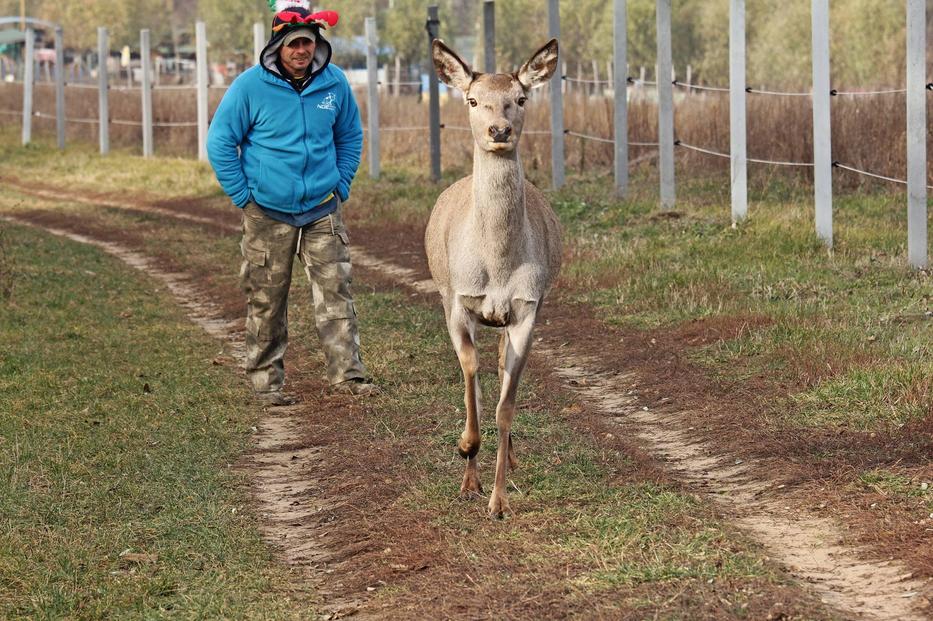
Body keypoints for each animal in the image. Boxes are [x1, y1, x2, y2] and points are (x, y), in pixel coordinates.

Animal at [422, 36, 560, 516]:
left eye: (520, 98)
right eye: (472, 99)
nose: (499, 131)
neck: (497, 266)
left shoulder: (527, 308)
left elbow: (506, 403)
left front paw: (499, 502)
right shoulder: (457, 300)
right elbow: (470, 373)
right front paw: (466, 447)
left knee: (500, 370)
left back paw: (509, 460)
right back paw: (469, 477)